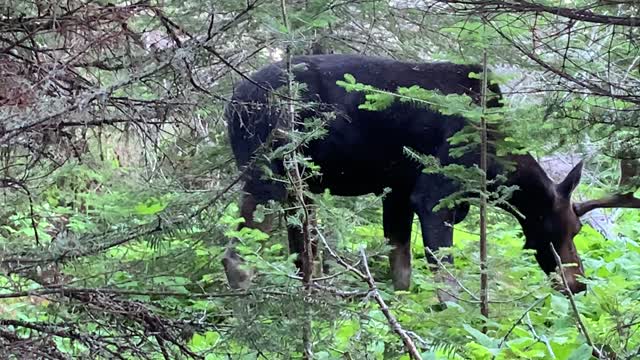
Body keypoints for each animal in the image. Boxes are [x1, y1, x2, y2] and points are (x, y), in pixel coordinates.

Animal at [222, 54, 636, 296]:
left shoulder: (397, 192)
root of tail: (231, 104)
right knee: (236, 256)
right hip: (267, 173)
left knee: (303, 255)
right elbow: (445, 281)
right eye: (570, 229)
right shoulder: (433, 194)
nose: (578, 284)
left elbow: (401, 273)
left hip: (300, 187)